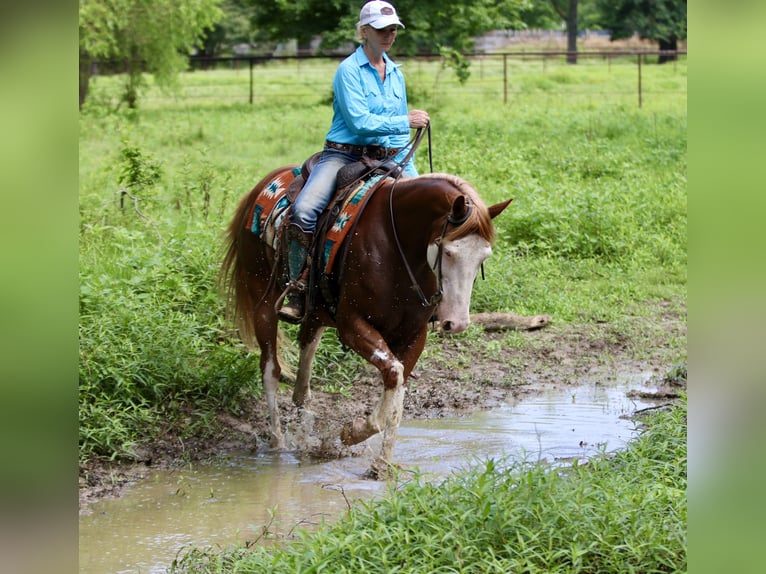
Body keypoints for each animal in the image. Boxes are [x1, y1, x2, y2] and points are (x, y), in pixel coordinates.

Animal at [220, 164, 511, 477]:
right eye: (448, 251)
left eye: (484, 256)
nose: (456, 324)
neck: (398, 244)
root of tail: (264, 184)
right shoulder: (352, 326)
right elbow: (394, 374)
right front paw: (352, 433)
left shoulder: (414, 334)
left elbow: (397, 390)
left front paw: (382, 465)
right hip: (262, 302)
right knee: (270, 370)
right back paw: (278, 444)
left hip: (315, 316)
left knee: (303, 377)